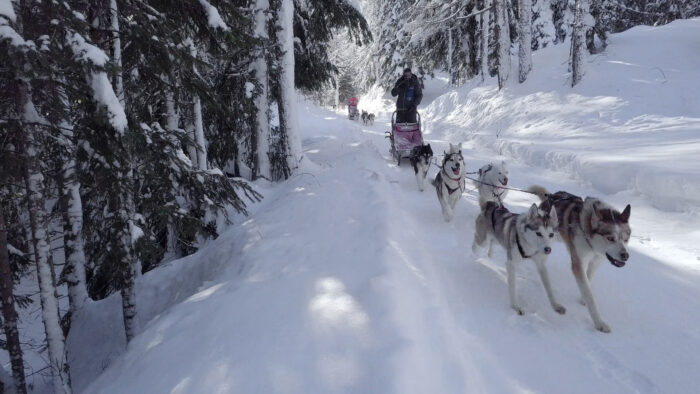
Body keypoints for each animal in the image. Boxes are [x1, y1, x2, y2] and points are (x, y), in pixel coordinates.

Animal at [528, 187, 632, 332]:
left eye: (626, 239)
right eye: (610, 238)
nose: (625, 255)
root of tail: (551, 196)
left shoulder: (595, 261)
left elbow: (589, 280)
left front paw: (583, 298)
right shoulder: (579, 263)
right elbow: (590, 297)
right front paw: (599, 322)